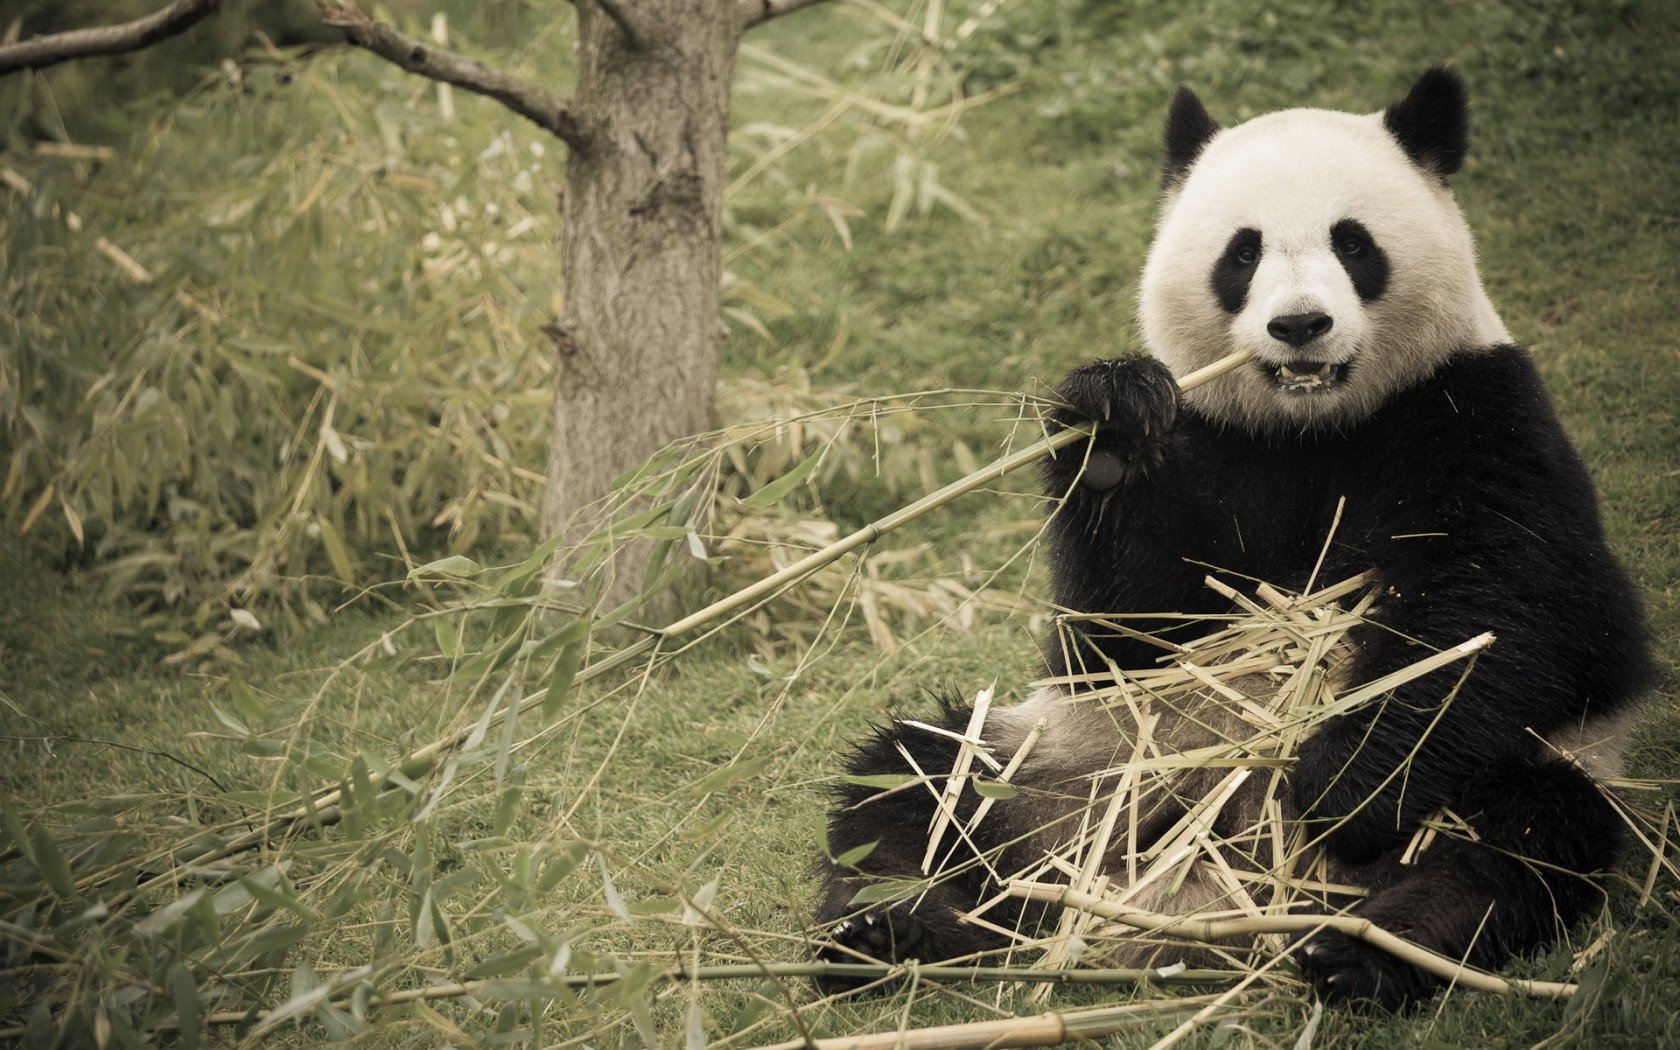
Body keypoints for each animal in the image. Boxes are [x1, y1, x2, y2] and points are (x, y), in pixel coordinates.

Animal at [814, 68, 1654, 1010]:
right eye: (1242, 254)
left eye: (1353, 243)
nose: (1300, 325)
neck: (1312, 426)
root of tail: (1213, 900)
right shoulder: (1213, 439)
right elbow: (1124, 632)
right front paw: (1112, 423)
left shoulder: (1475, 409)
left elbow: (1507, 607)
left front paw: (1346, 781)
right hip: (1077, 764)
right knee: (916, 784)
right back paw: (889, 928)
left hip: (1522, 772)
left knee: (1517, 843)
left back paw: (1365, 949)